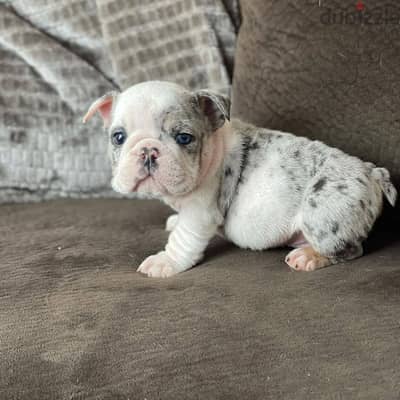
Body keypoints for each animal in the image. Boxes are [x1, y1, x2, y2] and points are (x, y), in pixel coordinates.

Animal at [83, 79, 396, 276]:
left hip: (321, 214)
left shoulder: (201, 211)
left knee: (351, 249)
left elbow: (184, 239)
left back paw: (309, 256)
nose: (148, 151)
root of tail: (372, 172)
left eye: (184, 138)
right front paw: (173, 221)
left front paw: (166, 262)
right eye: (118, 137)